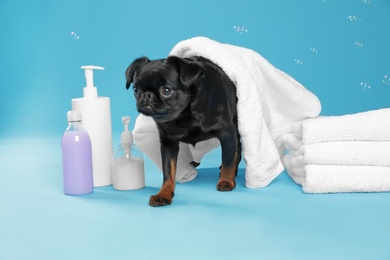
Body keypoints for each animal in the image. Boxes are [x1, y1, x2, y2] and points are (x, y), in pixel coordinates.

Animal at [125, 55, 241, 206]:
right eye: (135, 89)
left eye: (166, 90)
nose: (146, 95)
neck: (184, 115)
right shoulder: (168, 143)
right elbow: (168, 171)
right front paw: (164, 193)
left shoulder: (227, 134)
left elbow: (228, 159)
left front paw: (226, 180)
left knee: (237, 150)